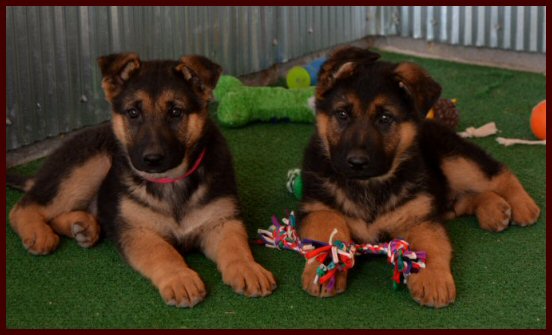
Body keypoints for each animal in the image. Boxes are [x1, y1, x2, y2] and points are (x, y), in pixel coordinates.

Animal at [11, 51, 280, 308]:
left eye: (175, 112)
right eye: (133, 113)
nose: (152, 159)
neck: (171, 182)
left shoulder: (222, 220)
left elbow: (235, 245)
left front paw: (248, 268)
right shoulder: (136, 229)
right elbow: (162, 252)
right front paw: (180, 278)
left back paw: (82, 225)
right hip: (91, 163)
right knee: (24, 207)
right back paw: (38, 233)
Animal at [300, 46, 540, 308]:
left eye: (385, 118)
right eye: (342, 114)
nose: (357, 162)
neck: (369, 185)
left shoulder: (419, 218)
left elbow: (430, 245)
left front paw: (433, 279)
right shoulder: (316, 208)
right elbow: (327, 230)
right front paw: (325, 269)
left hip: (455, 161)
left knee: (498, 173)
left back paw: (524, 206)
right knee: (462, 199)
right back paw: (494, 209)